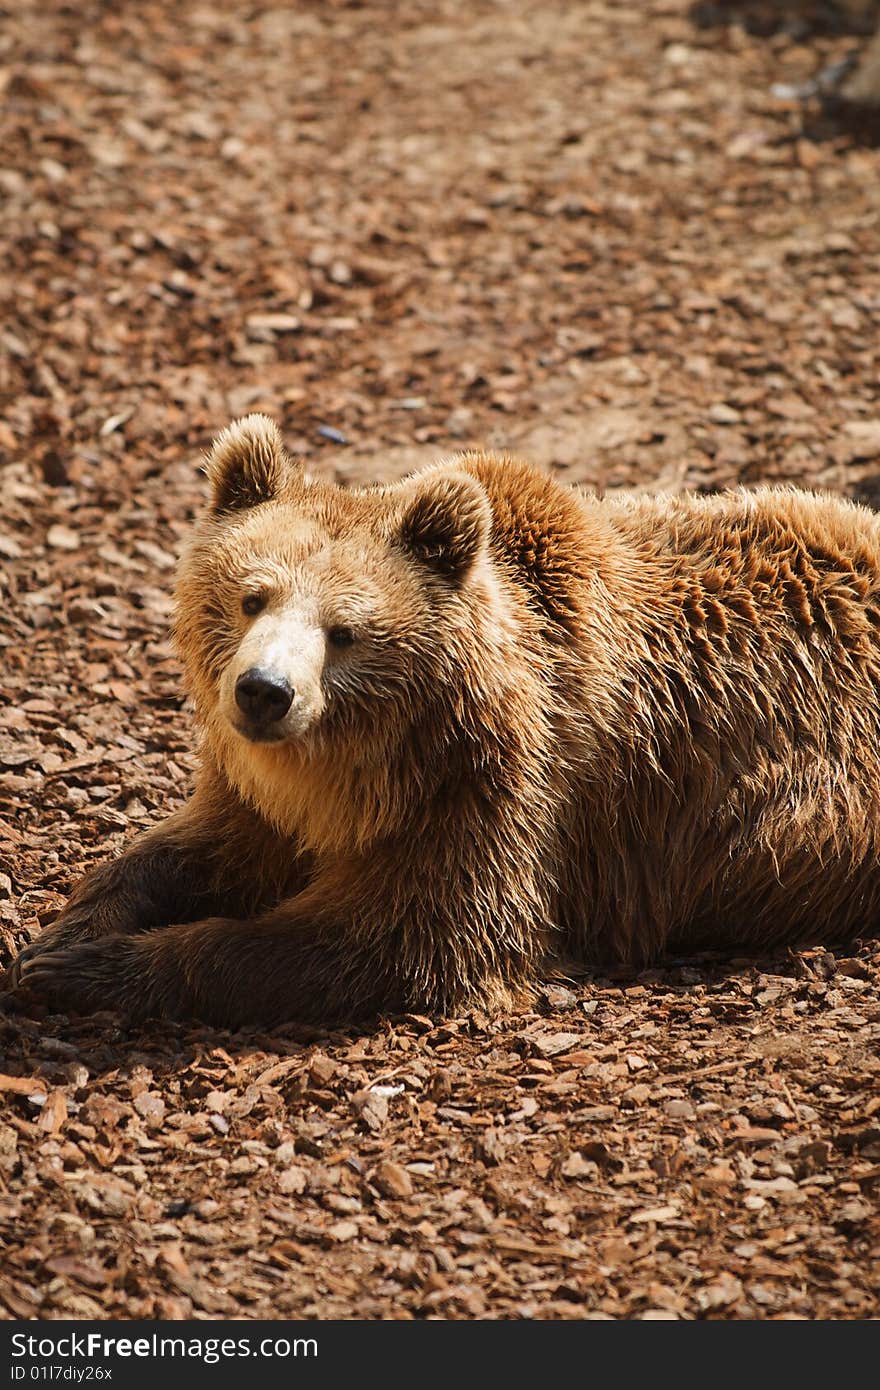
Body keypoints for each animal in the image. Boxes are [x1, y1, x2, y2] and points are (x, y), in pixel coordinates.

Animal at [6, 417, 878, 1028]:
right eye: (252, 595)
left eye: (345, 631)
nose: (263, 692)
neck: (359, 769)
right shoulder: (265, 798)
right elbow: (194, 847)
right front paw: (64, 936)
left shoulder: (495, 796)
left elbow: (393, 938)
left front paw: (99, 969)